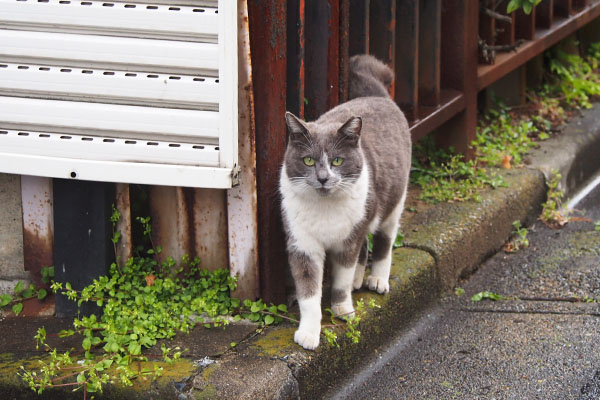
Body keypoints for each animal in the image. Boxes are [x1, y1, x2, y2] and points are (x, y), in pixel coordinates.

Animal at [278, 54, 410, 348]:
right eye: (308, 160)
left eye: (337, 160)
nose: (324, 178)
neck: (325, 210)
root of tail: (377, 96)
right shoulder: (302, 245)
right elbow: (308, 292)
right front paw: (308, 333)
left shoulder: (348, 239)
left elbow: (341, 278)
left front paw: (343, 310)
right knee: (365, 247)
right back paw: (360, 279)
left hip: (392, 203)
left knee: (384, 241)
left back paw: (376, 279)